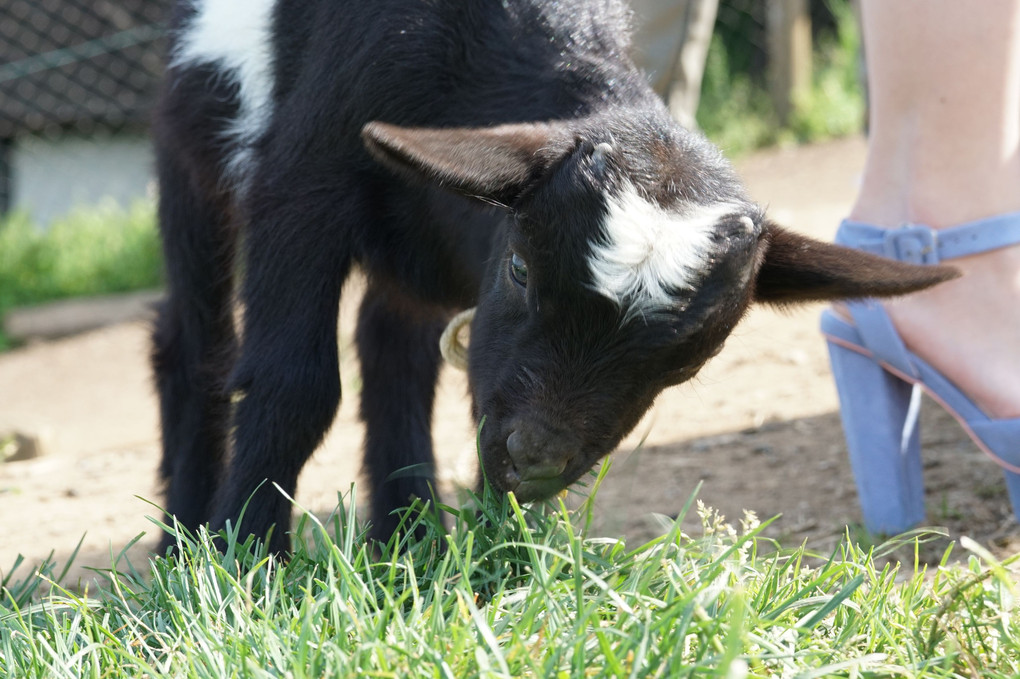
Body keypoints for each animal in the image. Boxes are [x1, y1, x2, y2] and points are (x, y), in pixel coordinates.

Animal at [153, 0, 954, 554]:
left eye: (688, 362)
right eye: (520, 270)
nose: (536, 457)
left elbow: (469, 391)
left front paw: (492, 565)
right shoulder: (304, 180)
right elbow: (296, 381)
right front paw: (243, 560)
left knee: (392, 343)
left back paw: (408, 538)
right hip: (195, 150)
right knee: (192, 344)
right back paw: (180, 546)